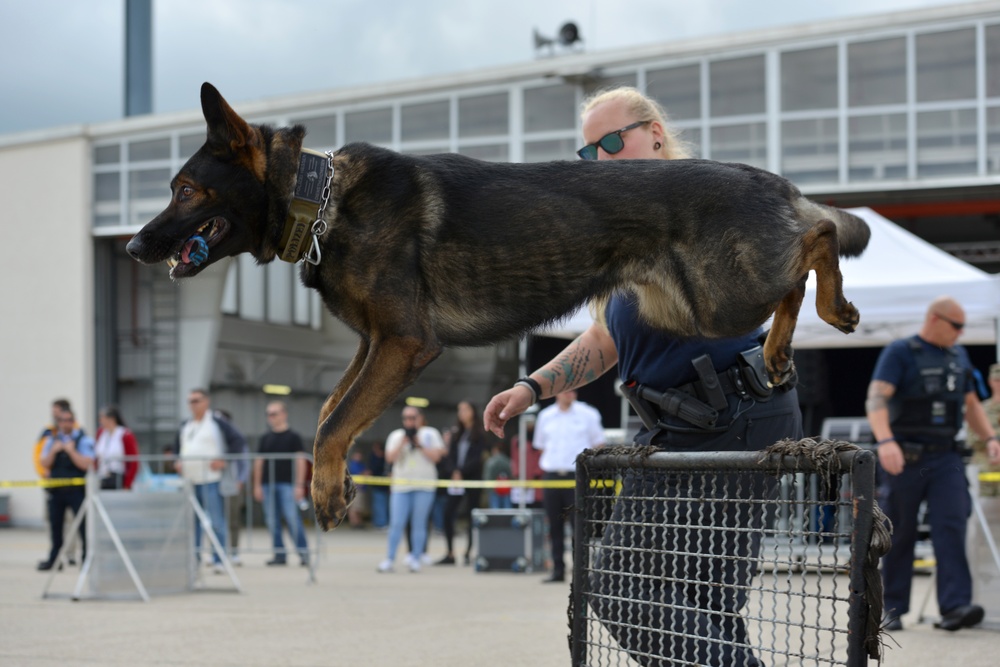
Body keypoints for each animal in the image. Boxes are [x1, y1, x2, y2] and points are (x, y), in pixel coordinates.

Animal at [129, 85, 872, 532]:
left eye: (186, 189)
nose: (135, 246)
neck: (321, 198)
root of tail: (770, 180)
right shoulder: (374, 345)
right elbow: (326, 416)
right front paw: (334, 484)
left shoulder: (403, 342)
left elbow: (333, 422)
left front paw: (327, 492)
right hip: (694, 307)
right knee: (797, 268)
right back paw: (778, 349)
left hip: (720, 296)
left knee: (821, 232)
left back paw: (836, 302)